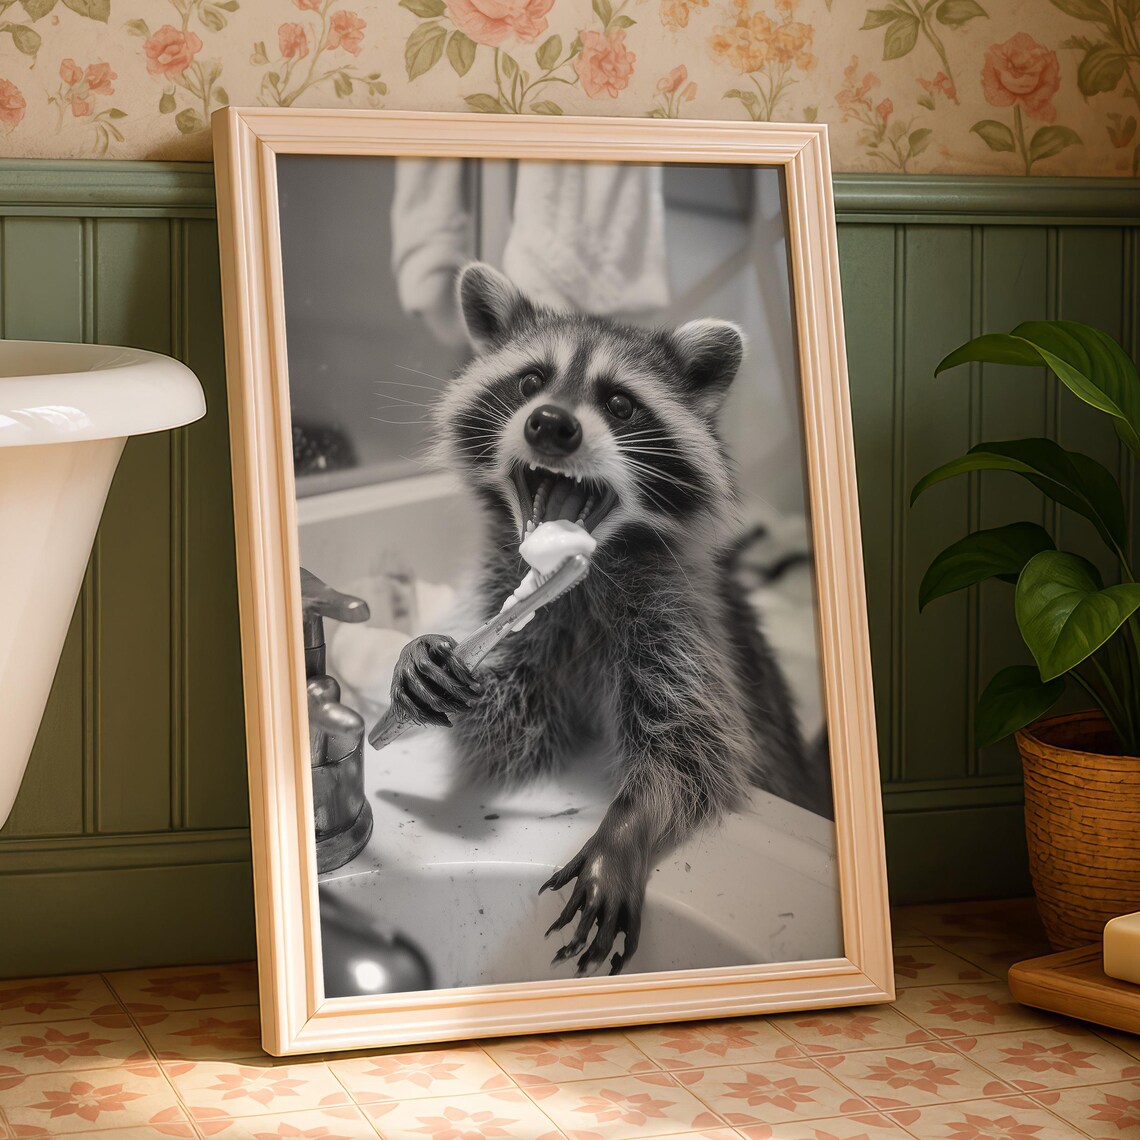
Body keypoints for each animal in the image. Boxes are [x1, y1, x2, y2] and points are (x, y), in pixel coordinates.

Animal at [387, 263, 832, 977]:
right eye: (530, 382)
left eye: (620, 405)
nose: (550, 424)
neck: (575, 584)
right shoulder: (505, 604)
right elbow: (506, 730)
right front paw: (428, 656)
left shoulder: (679, 623)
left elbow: (695, 745)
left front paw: (631, 823)